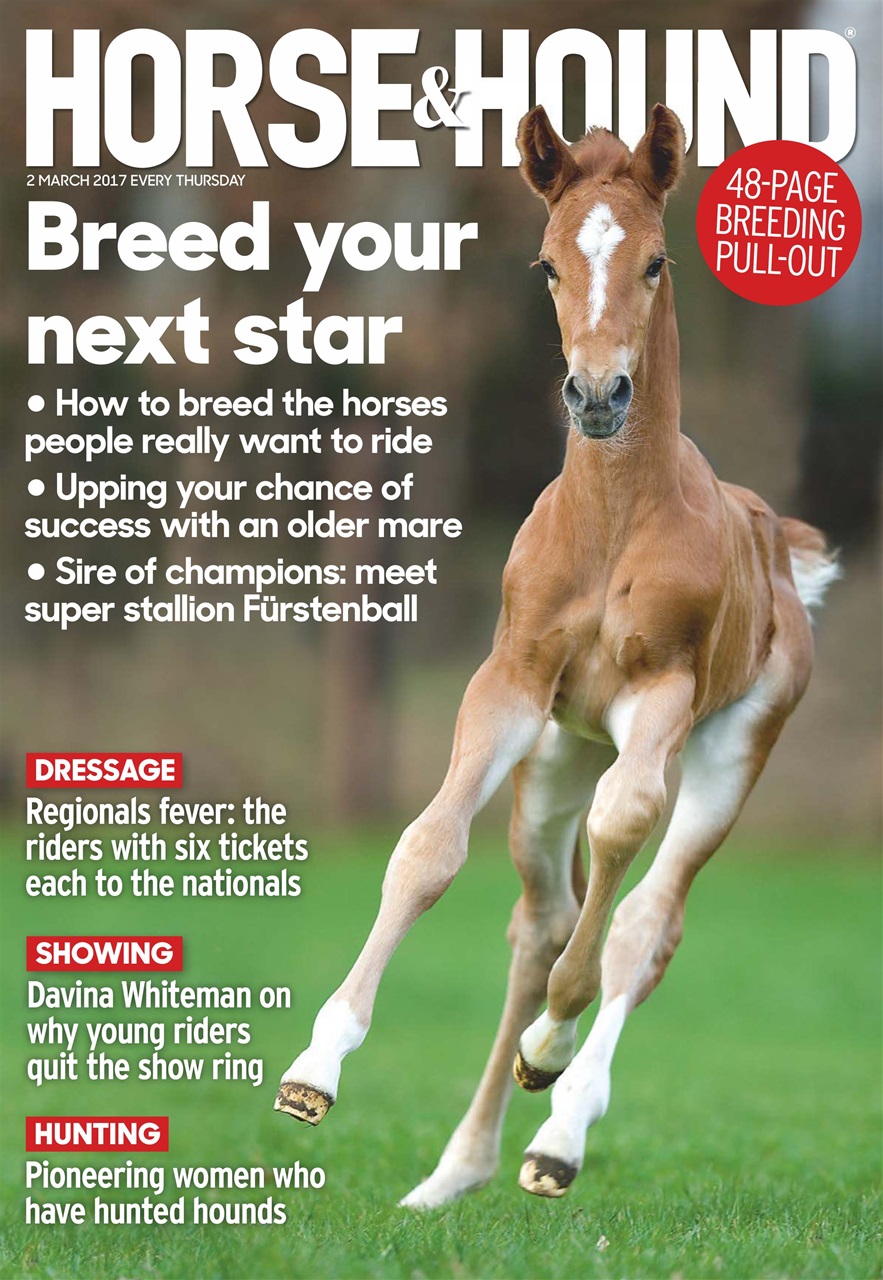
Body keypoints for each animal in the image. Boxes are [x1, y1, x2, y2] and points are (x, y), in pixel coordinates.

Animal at [275, 103, 840, 1206]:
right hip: (555, 758)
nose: (596, 394)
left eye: (657, 260)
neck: (613, 521)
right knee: (541, 921)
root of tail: (777, 545)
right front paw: (314, 1070)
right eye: (545, 263)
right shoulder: (510, 682)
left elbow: (620, 858)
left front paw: (552, 1049)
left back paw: (556, 1125)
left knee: (639, 924)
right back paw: (455, 1170)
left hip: (730, 745)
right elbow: (425, 851)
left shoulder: (663, 694)